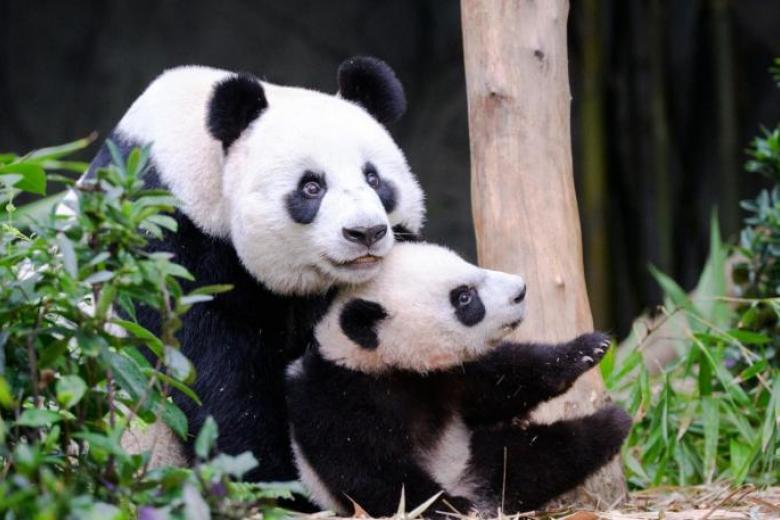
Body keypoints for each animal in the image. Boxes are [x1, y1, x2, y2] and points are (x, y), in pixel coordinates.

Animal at [84, 58, 426, 484]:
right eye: (311, 187)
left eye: (374, 178)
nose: (365, 232)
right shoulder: (161, 241)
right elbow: (216, 376)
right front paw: (275, 476)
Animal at [288, 243, 632, 516]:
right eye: (465, 298)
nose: (520, 290)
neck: (383, 365)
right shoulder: (339, 401)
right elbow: (372, 472)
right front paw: (450, 507)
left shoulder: (449, 376)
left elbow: (503, 382)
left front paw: (586, 350)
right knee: (531, 460)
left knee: (533, 458)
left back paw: (612, 423)